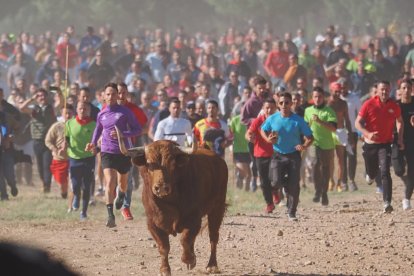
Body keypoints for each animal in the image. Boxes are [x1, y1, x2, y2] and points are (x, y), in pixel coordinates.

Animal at [124, 140, 226, 276]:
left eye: (172, 164)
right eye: (149, 164)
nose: (161, 187)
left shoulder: (194, 220)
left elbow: (185, 240)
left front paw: (189, 259)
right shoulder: (152, 223)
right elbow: (164, 246)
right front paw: (165, 269)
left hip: (217, 208)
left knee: (213, 236)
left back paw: (212, 265)